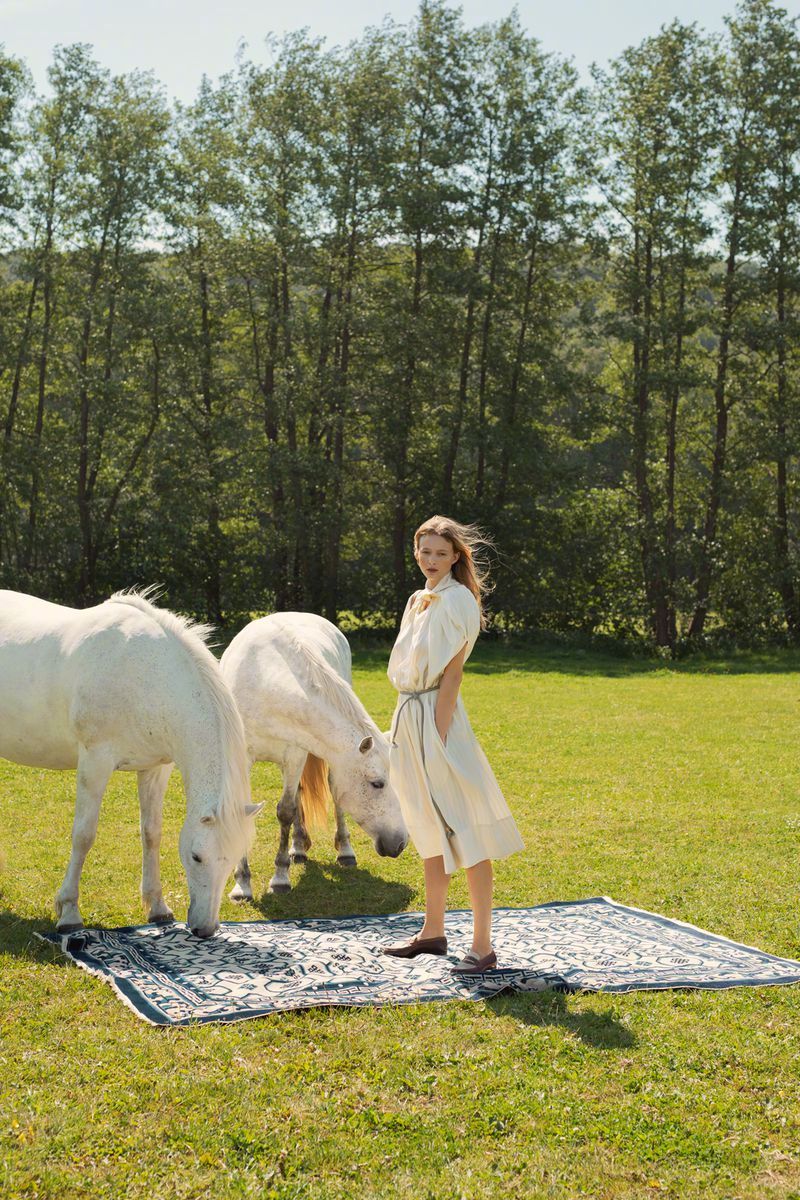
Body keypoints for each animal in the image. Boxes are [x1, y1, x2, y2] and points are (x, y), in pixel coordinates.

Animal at [0, 590, 260, 936]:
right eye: (196, 857)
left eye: (232, 860)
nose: (205, 929)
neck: (144, 675)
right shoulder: (95, 763)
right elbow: (84, 835)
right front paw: (69, 912)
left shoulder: (155, 768)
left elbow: (151, 833)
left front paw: (158, 907)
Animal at [219, 614, 407, 897]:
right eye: (377, 784)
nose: (401, 842)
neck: (264, 683)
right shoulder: (241, 760)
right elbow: (245, 810)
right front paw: (242, 884)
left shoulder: (295, 755)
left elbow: (286, 811)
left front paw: (280, 877)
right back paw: (298, 847)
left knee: (331, 795)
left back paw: (344, 852)